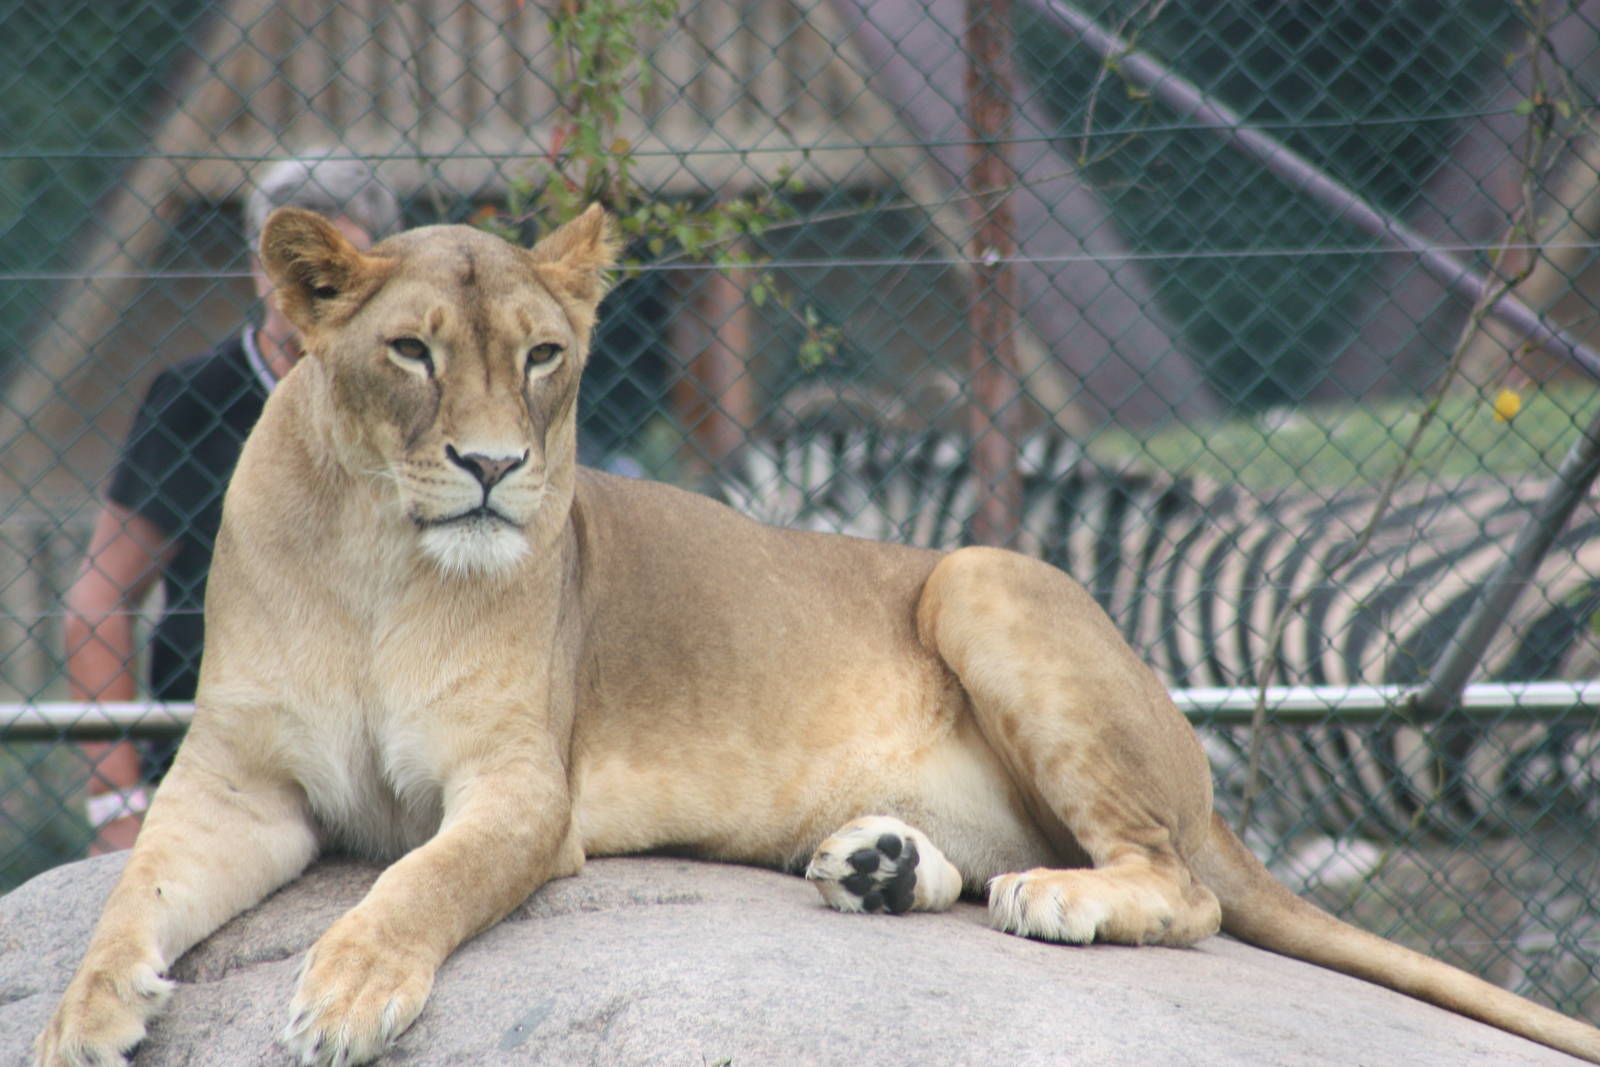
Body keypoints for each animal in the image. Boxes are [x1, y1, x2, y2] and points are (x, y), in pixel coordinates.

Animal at [35, 205, 1600, 1066]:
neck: (377, 559)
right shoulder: (237, 783)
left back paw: (1055, 897)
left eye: (544, 357)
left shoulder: (522, 790)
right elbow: (129, 897)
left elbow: (420, 881)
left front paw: (350, 988)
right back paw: (882, 862)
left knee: (1180, 887)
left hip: (981, 573)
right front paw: (81, 1017)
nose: (491, 466)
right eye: (411, 351)